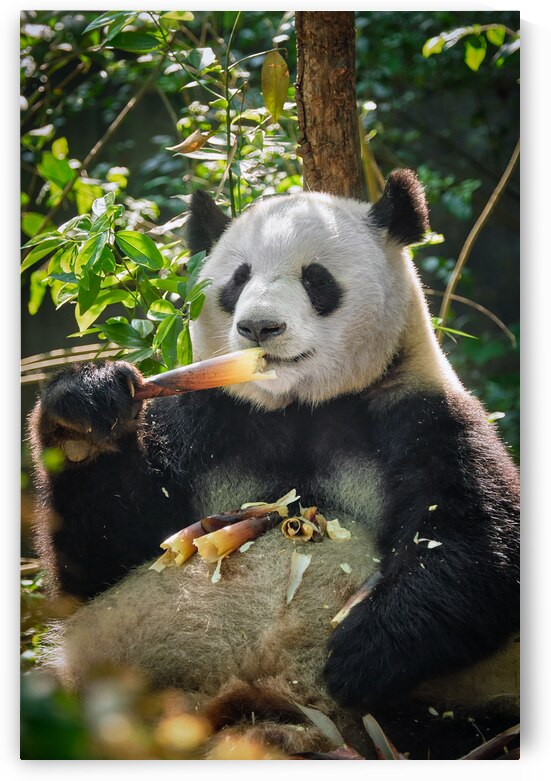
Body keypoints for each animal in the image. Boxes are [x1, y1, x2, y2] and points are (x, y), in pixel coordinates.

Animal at [29, 169, 519, 756]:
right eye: (237, 279)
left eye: (316, 279)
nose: (259, 328)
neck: (297, 406)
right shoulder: (204, 421)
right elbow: (102, 559)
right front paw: (86, 412)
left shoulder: (418, 411)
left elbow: (475, 544)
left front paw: (358, 654)